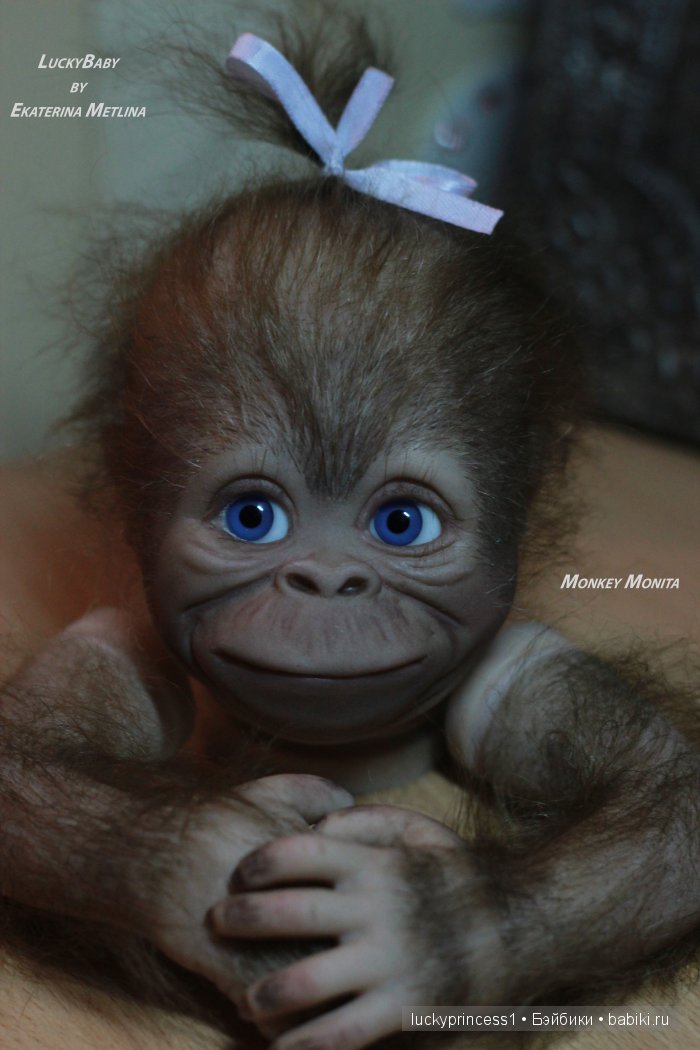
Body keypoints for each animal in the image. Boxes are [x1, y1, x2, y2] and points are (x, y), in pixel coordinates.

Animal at [1, 11, 700, 1050]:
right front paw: (197, 851)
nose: (327, 581)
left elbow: (673, 791)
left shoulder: (512, 661)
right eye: (253, 518)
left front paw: (428, 922)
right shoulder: (117, 635)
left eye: (400, 523)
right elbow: (19, 757)